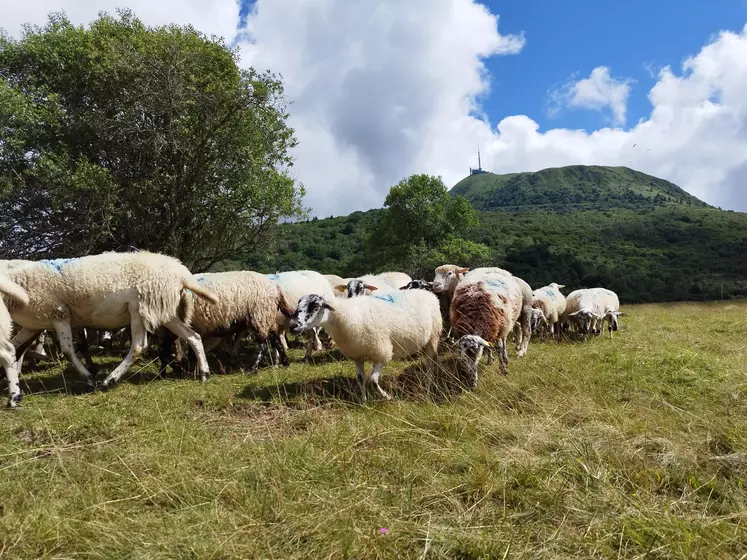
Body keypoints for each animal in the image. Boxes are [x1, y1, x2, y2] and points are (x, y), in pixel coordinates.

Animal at [2, 250, 218, 394]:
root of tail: (181, 273)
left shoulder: (60, 314)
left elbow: (68, 350)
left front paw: (88, 377)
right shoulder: (32, 326)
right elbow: (14, 346)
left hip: (139, 308)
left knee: (139, 346)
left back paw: (109, 380)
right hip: (163, 310)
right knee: (193, 337)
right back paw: (205, 374)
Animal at [159, 270, 294, 374]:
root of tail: (275, 288)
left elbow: (167, 352)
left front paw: (169, 372)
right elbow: (169, 352)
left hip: (259, 314)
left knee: (264, 345)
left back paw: (254, 369)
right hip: (265, 317)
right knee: (275, 339)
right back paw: (285, 362)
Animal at [286, 288, 438, 402]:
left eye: (316, 306)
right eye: (298, 304)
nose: (292, 326)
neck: (344, 316)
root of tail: (426, 292)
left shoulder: (381, 352)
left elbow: (373, 380)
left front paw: (388, 397)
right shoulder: (357, 356)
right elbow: (361, 379)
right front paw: (363, 401)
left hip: (433, 338)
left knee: (431, 366)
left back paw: (428, 387)